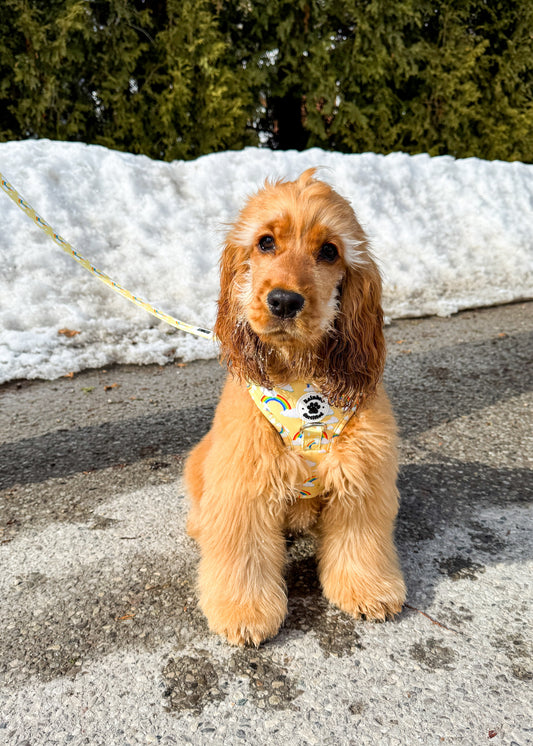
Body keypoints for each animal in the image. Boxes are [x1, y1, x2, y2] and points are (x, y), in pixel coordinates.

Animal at [183, 166, 404, 644]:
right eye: (266, 242)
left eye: (329, 251)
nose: (284, 300)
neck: (301, 380)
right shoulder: (243, 479)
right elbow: (242, 552)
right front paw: (243, 612)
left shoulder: (362, 474)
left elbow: (360, 542)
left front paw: (368, 590)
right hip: (200, 459)